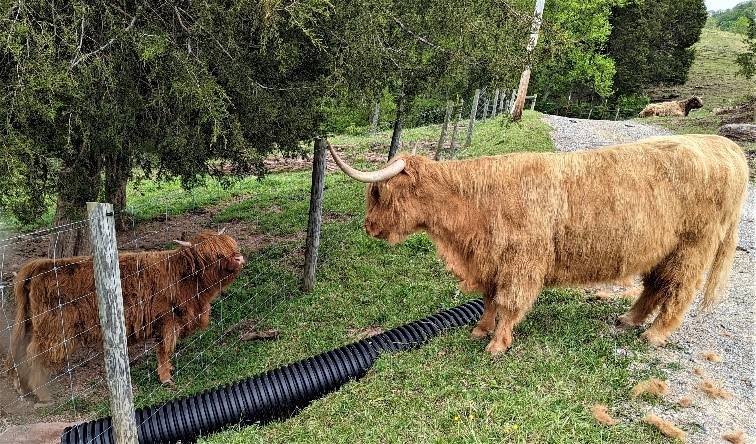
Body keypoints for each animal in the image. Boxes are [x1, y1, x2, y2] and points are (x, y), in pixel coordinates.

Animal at [4, 231, 244, 404]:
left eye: (232, 247)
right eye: (214, 254)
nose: (240, 258)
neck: (184, 277)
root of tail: (40, 266)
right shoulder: (166, 321)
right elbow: (163, 350)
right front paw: (166, 378)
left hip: (33, 324)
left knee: (18, 352)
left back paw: (22, 389)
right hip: (54, 328)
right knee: (33, 354)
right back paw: (44, 396)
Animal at [330, 134, 752, 354]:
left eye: (377, 194)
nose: (368, 227)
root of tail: (725, 146)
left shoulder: (520, 262)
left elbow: (508, 302)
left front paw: (497, 345)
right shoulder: (492, 261)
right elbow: (489, 299)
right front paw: (479, 331)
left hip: (692, 247)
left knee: (679, 290)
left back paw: (654, 335)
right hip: (662, 249)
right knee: (654, 286)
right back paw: (628, 319)